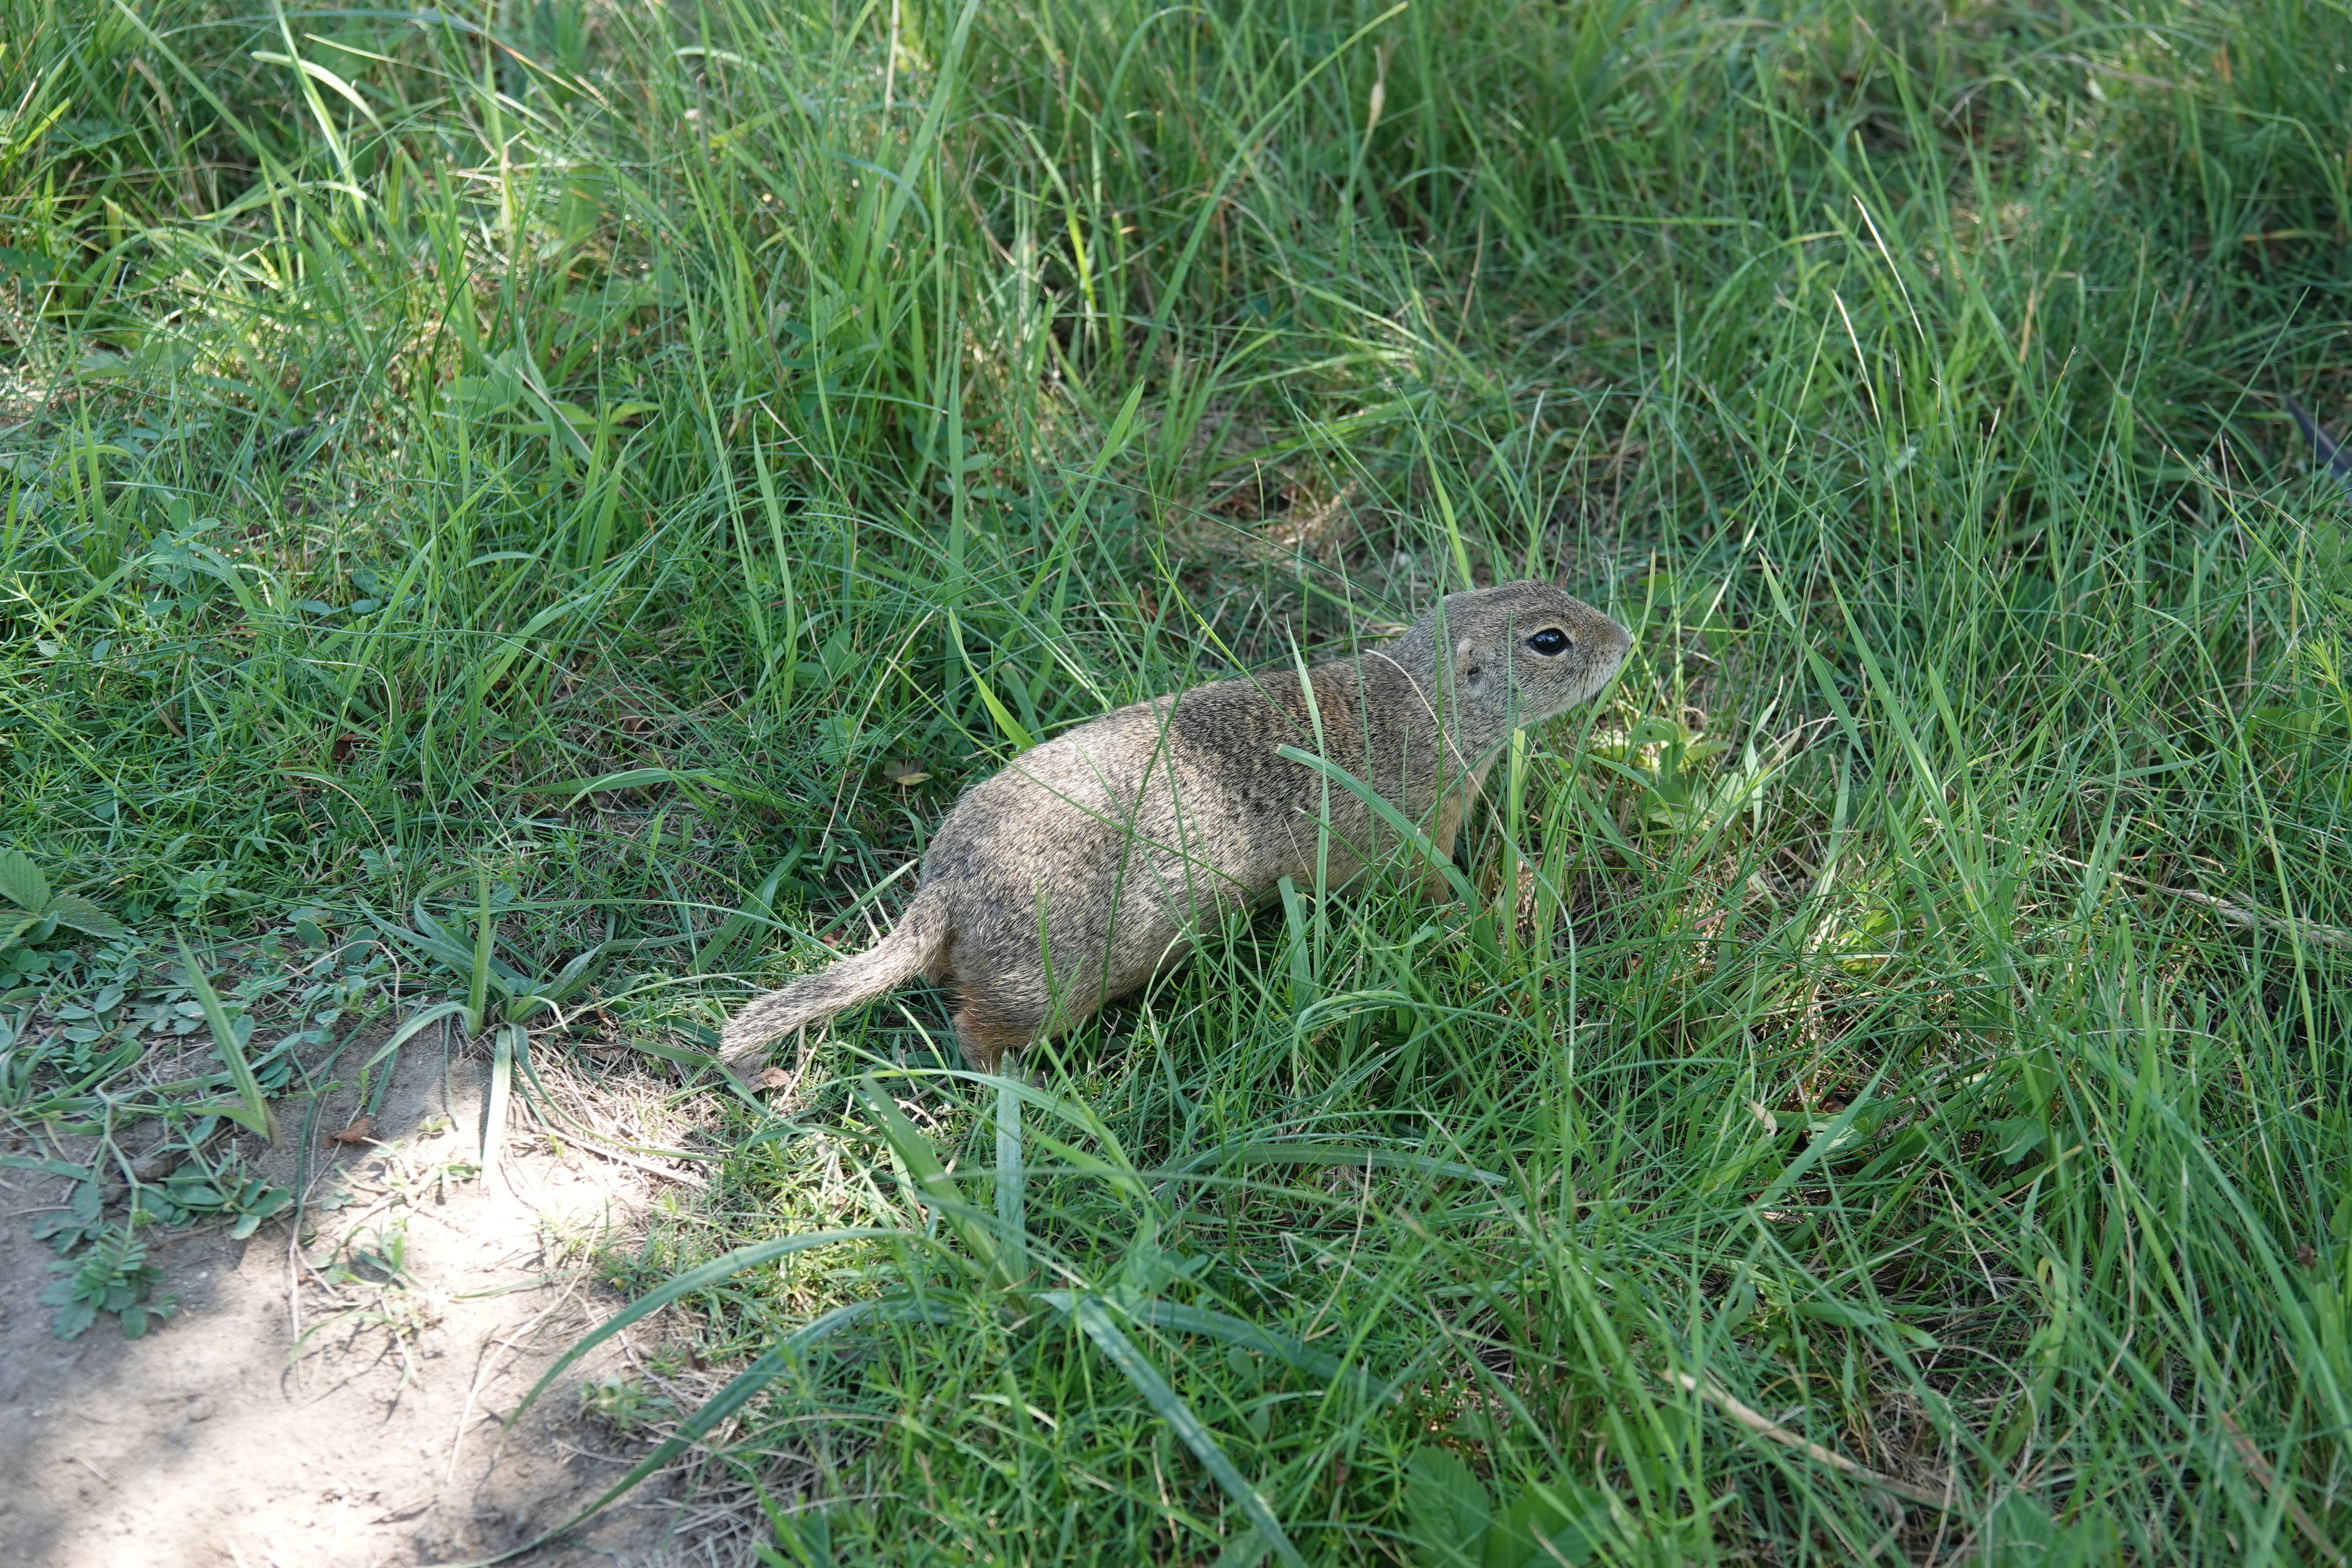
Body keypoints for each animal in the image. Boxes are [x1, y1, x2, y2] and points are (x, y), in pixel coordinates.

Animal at [720, 580, 1631, 1083]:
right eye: (1550, 641)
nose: (1627, 638)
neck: (1417, 703)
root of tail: (943, 888)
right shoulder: (1414, 829)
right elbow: (1429, 888)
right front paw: (1484, 914)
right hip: (1045, 978)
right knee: (978, 1029)